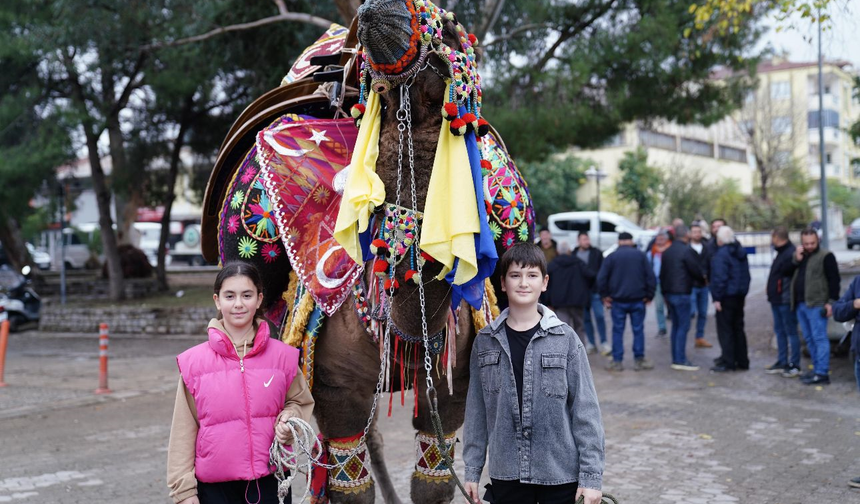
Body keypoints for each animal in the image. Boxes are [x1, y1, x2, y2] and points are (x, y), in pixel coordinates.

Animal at [202, 1, 536, 502]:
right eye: (378, 86)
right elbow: (350, 482)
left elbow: (434, 479)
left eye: (450, 31)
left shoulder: (454, 385)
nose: (378, 11)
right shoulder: (337, 390)